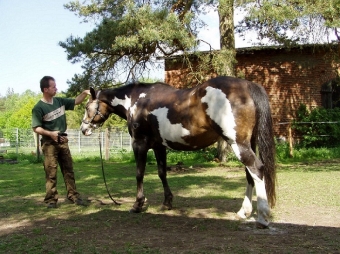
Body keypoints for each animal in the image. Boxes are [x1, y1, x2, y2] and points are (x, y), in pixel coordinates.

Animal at [80, 75, 276, 228]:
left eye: (87, 107)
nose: (83, 129)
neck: (137, 100)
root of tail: (247, 86)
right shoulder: (159, 146)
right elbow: (162, 173)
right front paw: (167, 202)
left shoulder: (139, 144)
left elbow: (139, 173)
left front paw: (137, 204)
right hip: (247, 143)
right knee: (250, 174)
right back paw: (244, 212)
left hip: (237, 143)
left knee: (257, 169)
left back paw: (262, 218)